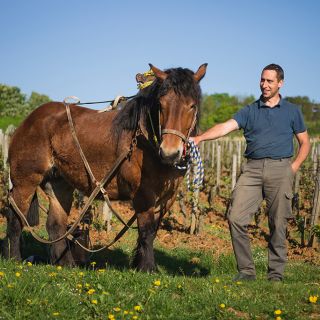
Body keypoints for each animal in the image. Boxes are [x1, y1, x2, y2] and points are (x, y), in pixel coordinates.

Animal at [1, 63, 208, 272]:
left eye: (192, 106)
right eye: (161, 105)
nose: (170, 152)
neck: (145, 141)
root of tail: (29, 120)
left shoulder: (166, 198)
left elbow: (153, 230)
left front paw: (139, 263)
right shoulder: (144, 195)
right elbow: (147, 230)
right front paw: (147, 267)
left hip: (59, 183)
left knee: (55, 225)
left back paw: (66, 264)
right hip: (25, 181)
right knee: (16, 219)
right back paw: (14, 258)